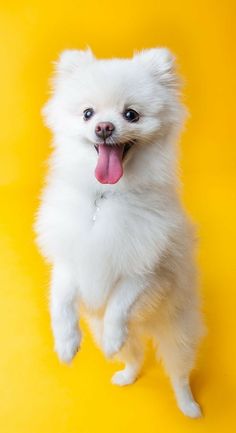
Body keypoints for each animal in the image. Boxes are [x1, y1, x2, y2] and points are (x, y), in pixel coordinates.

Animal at [34, 47, 204, 416]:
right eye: (87, 113)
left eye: (131, 114)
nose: (104, 127)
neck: (104, 197)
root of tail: (147, 326)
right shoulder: (70, 260)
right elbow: (61, 301)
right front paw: (66, 344)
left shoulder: (147, 270)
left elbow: (120, 302)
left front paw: (114, 332)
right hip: (115, 335)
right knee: (135, 355)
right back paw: (126, 375)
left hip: (179, 334)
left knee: (179, 373)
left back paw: (188, 407)